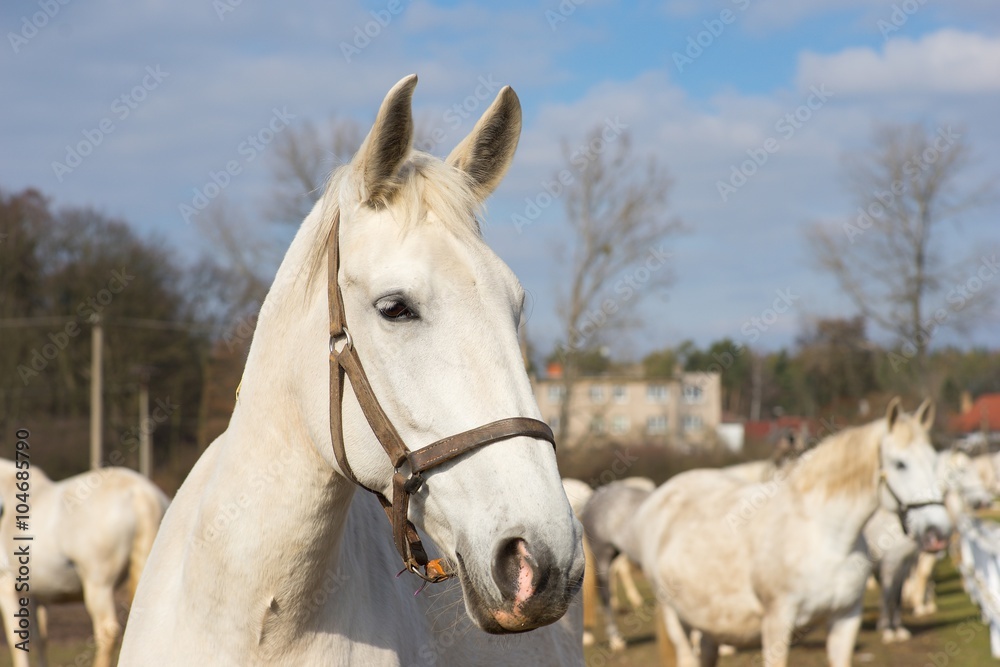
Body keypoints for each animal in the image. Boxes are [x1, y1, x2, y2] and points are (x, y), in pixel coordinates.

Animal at [0, 462, 169, 667]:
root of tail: (142, 494)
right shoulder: (35, 595)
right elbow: (40, 638)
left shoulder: (7, 585)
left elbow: (18, 637)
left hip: (98, 586)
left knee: (107, 631)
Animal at [636, 402, 948, 667]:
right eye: (899, 463)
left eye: (935, 461)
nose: (939, 531)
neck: (825, 535)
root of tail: (661, 495)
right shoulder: (777, 623)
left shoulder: (846, 618)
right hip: (675, 616)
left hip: (708, 621)